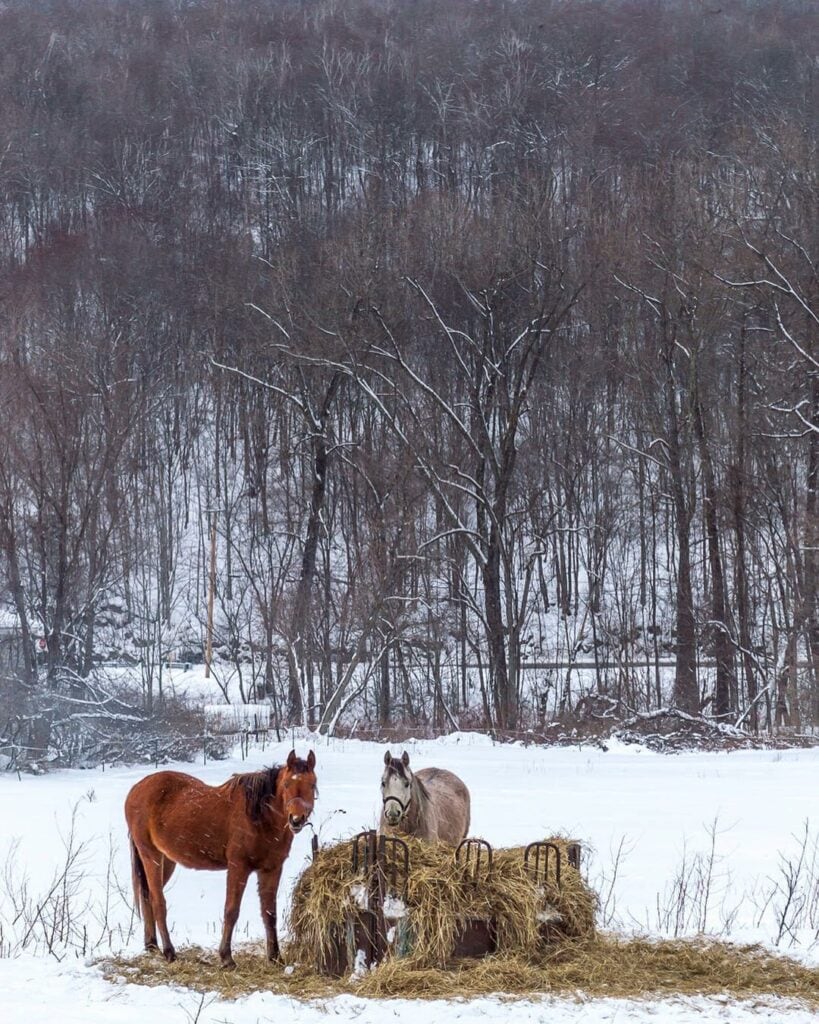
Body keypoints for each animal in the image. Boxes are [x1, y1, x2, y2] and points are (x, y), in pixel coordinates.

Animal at [124, 749, 317, 962]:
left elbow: (269, 913)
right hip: (151, 856)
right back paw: (169, 951)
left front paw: (275, 957)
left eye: (312, 784)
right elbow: (231, 911)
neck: (259, 817)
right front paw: (226, 957)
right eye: (286, 784)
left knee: (147, 896)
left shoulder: (271, 869)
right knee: (158, 901)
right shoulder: (238, 867)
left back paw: (151, 944)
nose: (296, 820)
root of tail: (136, 789)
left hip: (166, 860)